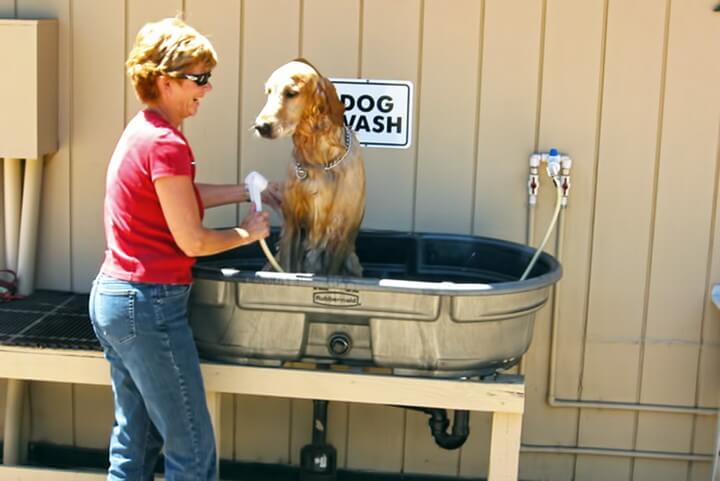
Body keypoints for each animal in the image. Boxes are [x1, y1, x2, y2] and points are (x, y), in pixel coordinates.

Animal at [253, 58, 366, 276]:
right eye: (268, 91)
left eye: (291, 93)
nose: (261, 126)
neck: (318, 162)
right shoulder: (292, 226)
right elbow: (288, 270)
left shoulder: (341, 232)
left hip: (352, 260)